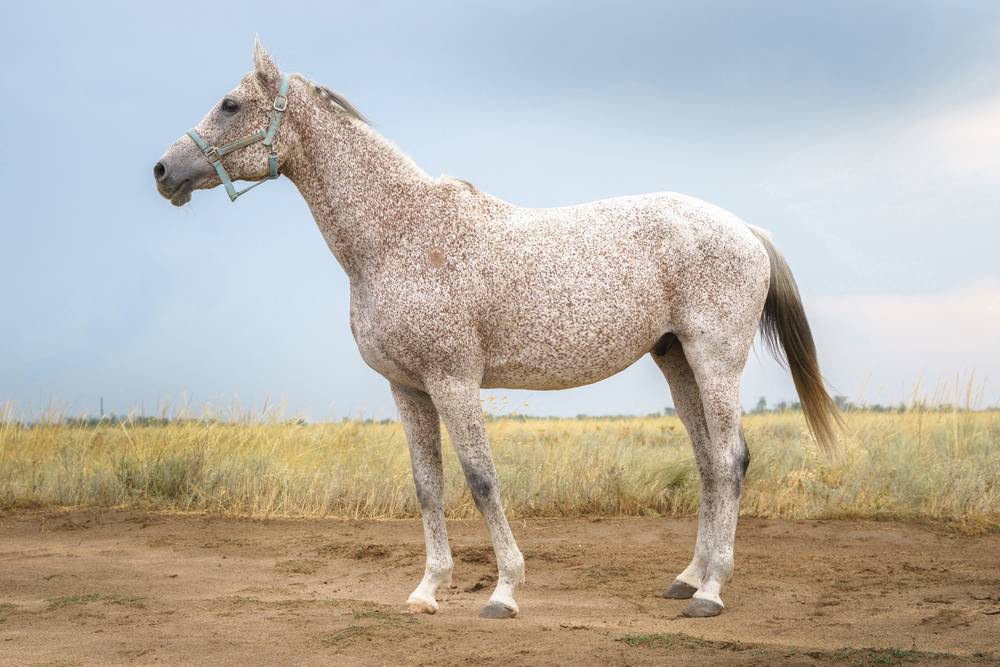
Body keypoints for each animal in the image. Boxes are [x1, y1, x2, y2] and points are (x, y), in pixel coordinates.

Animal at [156, 39, 840, 620]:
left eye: (230, 104)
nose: (163, 171)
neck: (400, 236)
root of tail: (746, 229)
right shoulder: (407, 388)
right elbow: (427, 487)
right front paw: (427, 590)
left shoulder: (453, 381)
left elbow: (481, 480)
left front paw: (504, 592)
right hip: (675, 360)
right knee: (705, 463)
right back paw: (688, 578)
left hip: (714, 360)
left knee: (729, 460)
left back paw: (712, 591)